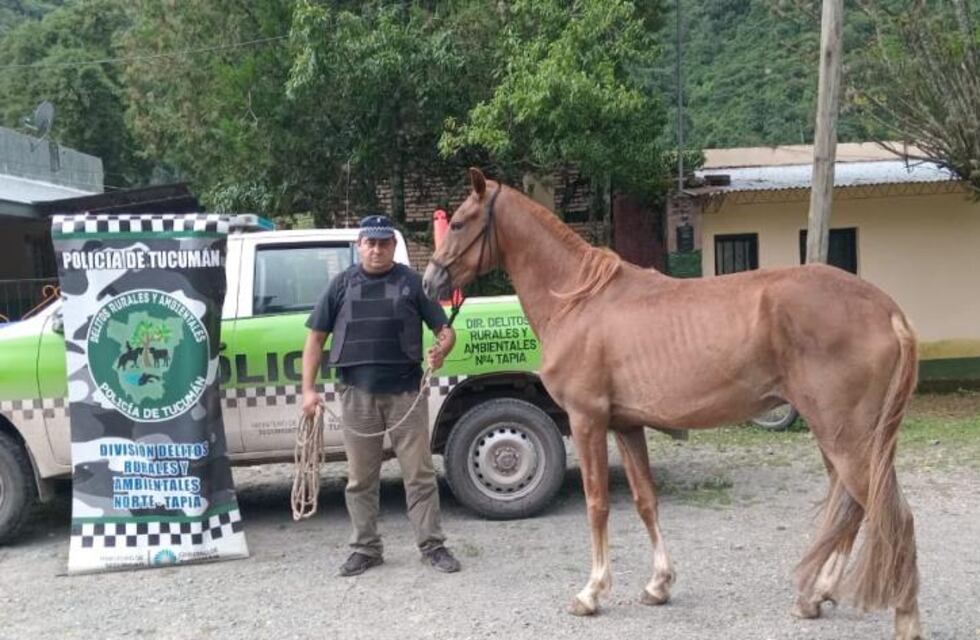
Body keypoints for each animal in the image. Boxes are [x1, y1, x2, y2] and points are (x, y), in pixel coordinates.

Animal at [422, 169, 922, 640]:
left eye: (460, 222)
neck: (578, 300)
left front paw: (591, 593)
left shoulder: (587, 421)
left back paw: (905, 619)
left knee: (891, 516)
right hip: (844, 438)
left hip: (847, 437)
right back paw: (815, 598)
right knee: (853, 509)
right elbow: (646, 500)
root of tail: (887, 310)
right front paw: (658, 585)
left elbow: (597, 503)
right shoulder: (625, 425)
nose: (430, 281)